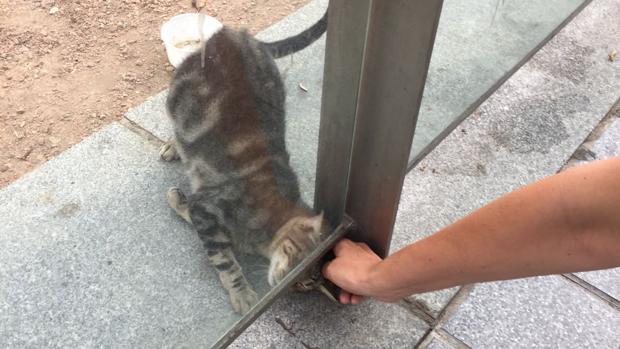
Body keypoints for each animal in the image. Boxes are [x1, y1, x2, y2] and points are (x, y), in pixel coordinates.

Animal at [161, 11, 330, 312]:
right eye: (297, 256)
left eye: (306, 283)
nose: (288, 280)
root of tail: (244, 36)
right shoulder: (207, 207)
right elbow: (224, 260)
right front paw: (242, 293)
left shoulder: (203, 211)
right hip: (175, 99)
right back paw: (173, 145)